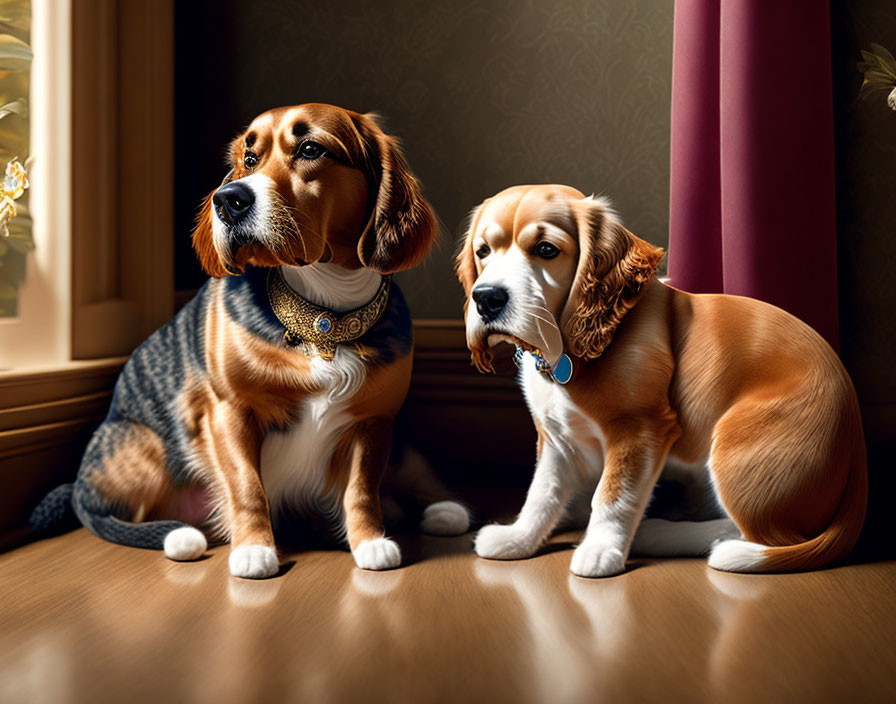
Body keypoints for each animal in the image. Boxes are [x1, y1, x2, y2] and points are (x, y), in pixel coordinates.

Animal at [28, 104, 472, 576]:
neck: (324, 316)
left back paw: (441, 509)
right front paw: (255, 549)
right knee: (107, 516)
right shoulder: (230, 413)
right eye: (248, 158)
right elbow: (246, 486)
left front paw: (369, 540)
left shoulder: (372, 422)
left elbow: (362, 490)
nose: (228, 200)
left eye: (310, 149)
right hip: (143, 447)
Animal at [458, 184, 864, 576]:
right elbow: (543, 491)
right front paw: (519, 538)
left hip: (736, 445)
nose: (486, 298)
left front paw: (601, 550)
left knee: (761, 536)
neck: (561, 351)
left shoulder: (639, 428)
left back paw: (659, 533)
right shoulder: (556, 438)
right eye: (483, 251)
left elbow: (613, 494)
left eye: (546, 249)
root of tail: (855, 441)